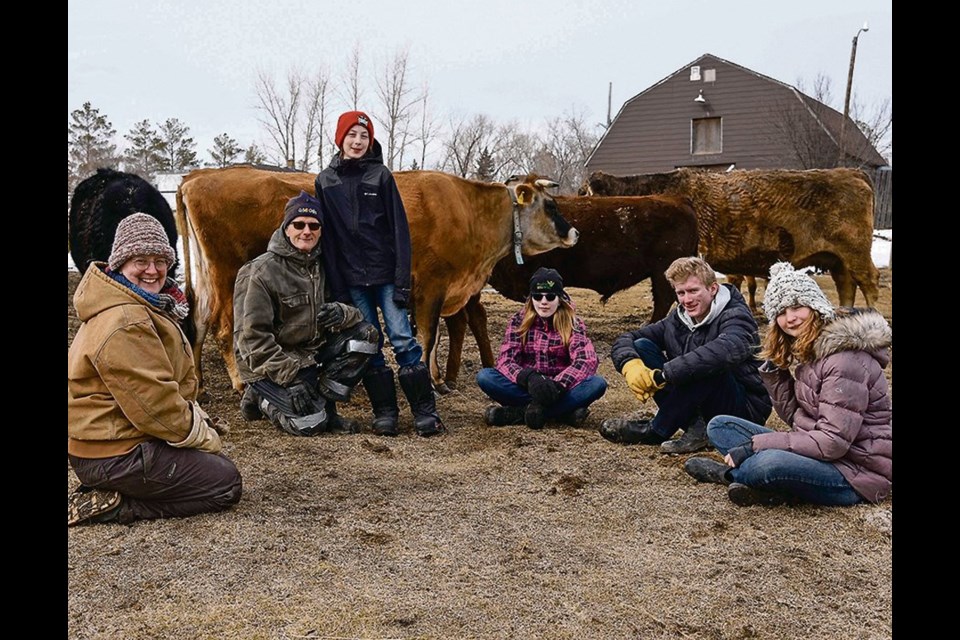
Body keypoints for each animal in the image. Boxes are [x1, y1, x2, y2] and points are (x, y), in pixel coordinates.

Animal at [174, 162, 576, 392]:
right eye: (551, 205)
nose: (574, 232)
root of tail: (198, 177)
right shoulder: (431, 286)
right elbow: (429, 336)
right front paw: (432, 381)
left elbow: (430, 336)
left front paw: (435, 378)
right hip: (227, 274)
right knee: (223, 328)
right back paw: (239, 382)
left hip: (206, 277)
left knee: (198, 321)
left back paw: (198, 384)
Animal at [580, 168, 880, 308]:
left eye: (583, 194)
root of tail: (850, 171)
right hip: (838, 259)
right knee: (846, 286)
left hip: (855, 253)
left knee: (868, 282)